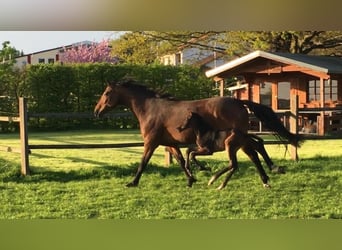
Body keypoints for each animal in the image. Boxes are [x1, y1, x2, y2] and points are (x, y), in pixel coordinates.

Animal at [94, 80, 302, 189]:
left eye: (106, 93)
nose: (96, 111)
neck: (150, 109)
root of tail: (239, 102)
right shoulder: (170, 144)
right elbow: (181, 160)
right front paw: (191, 179)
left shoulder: (151, 142)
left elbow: (143, 163)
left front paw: (132, 182)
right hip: (239, 138)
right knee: (256, 149)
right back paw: (267, 177)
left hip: (236, 139)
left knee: (254, 150)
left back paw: (268, 174)